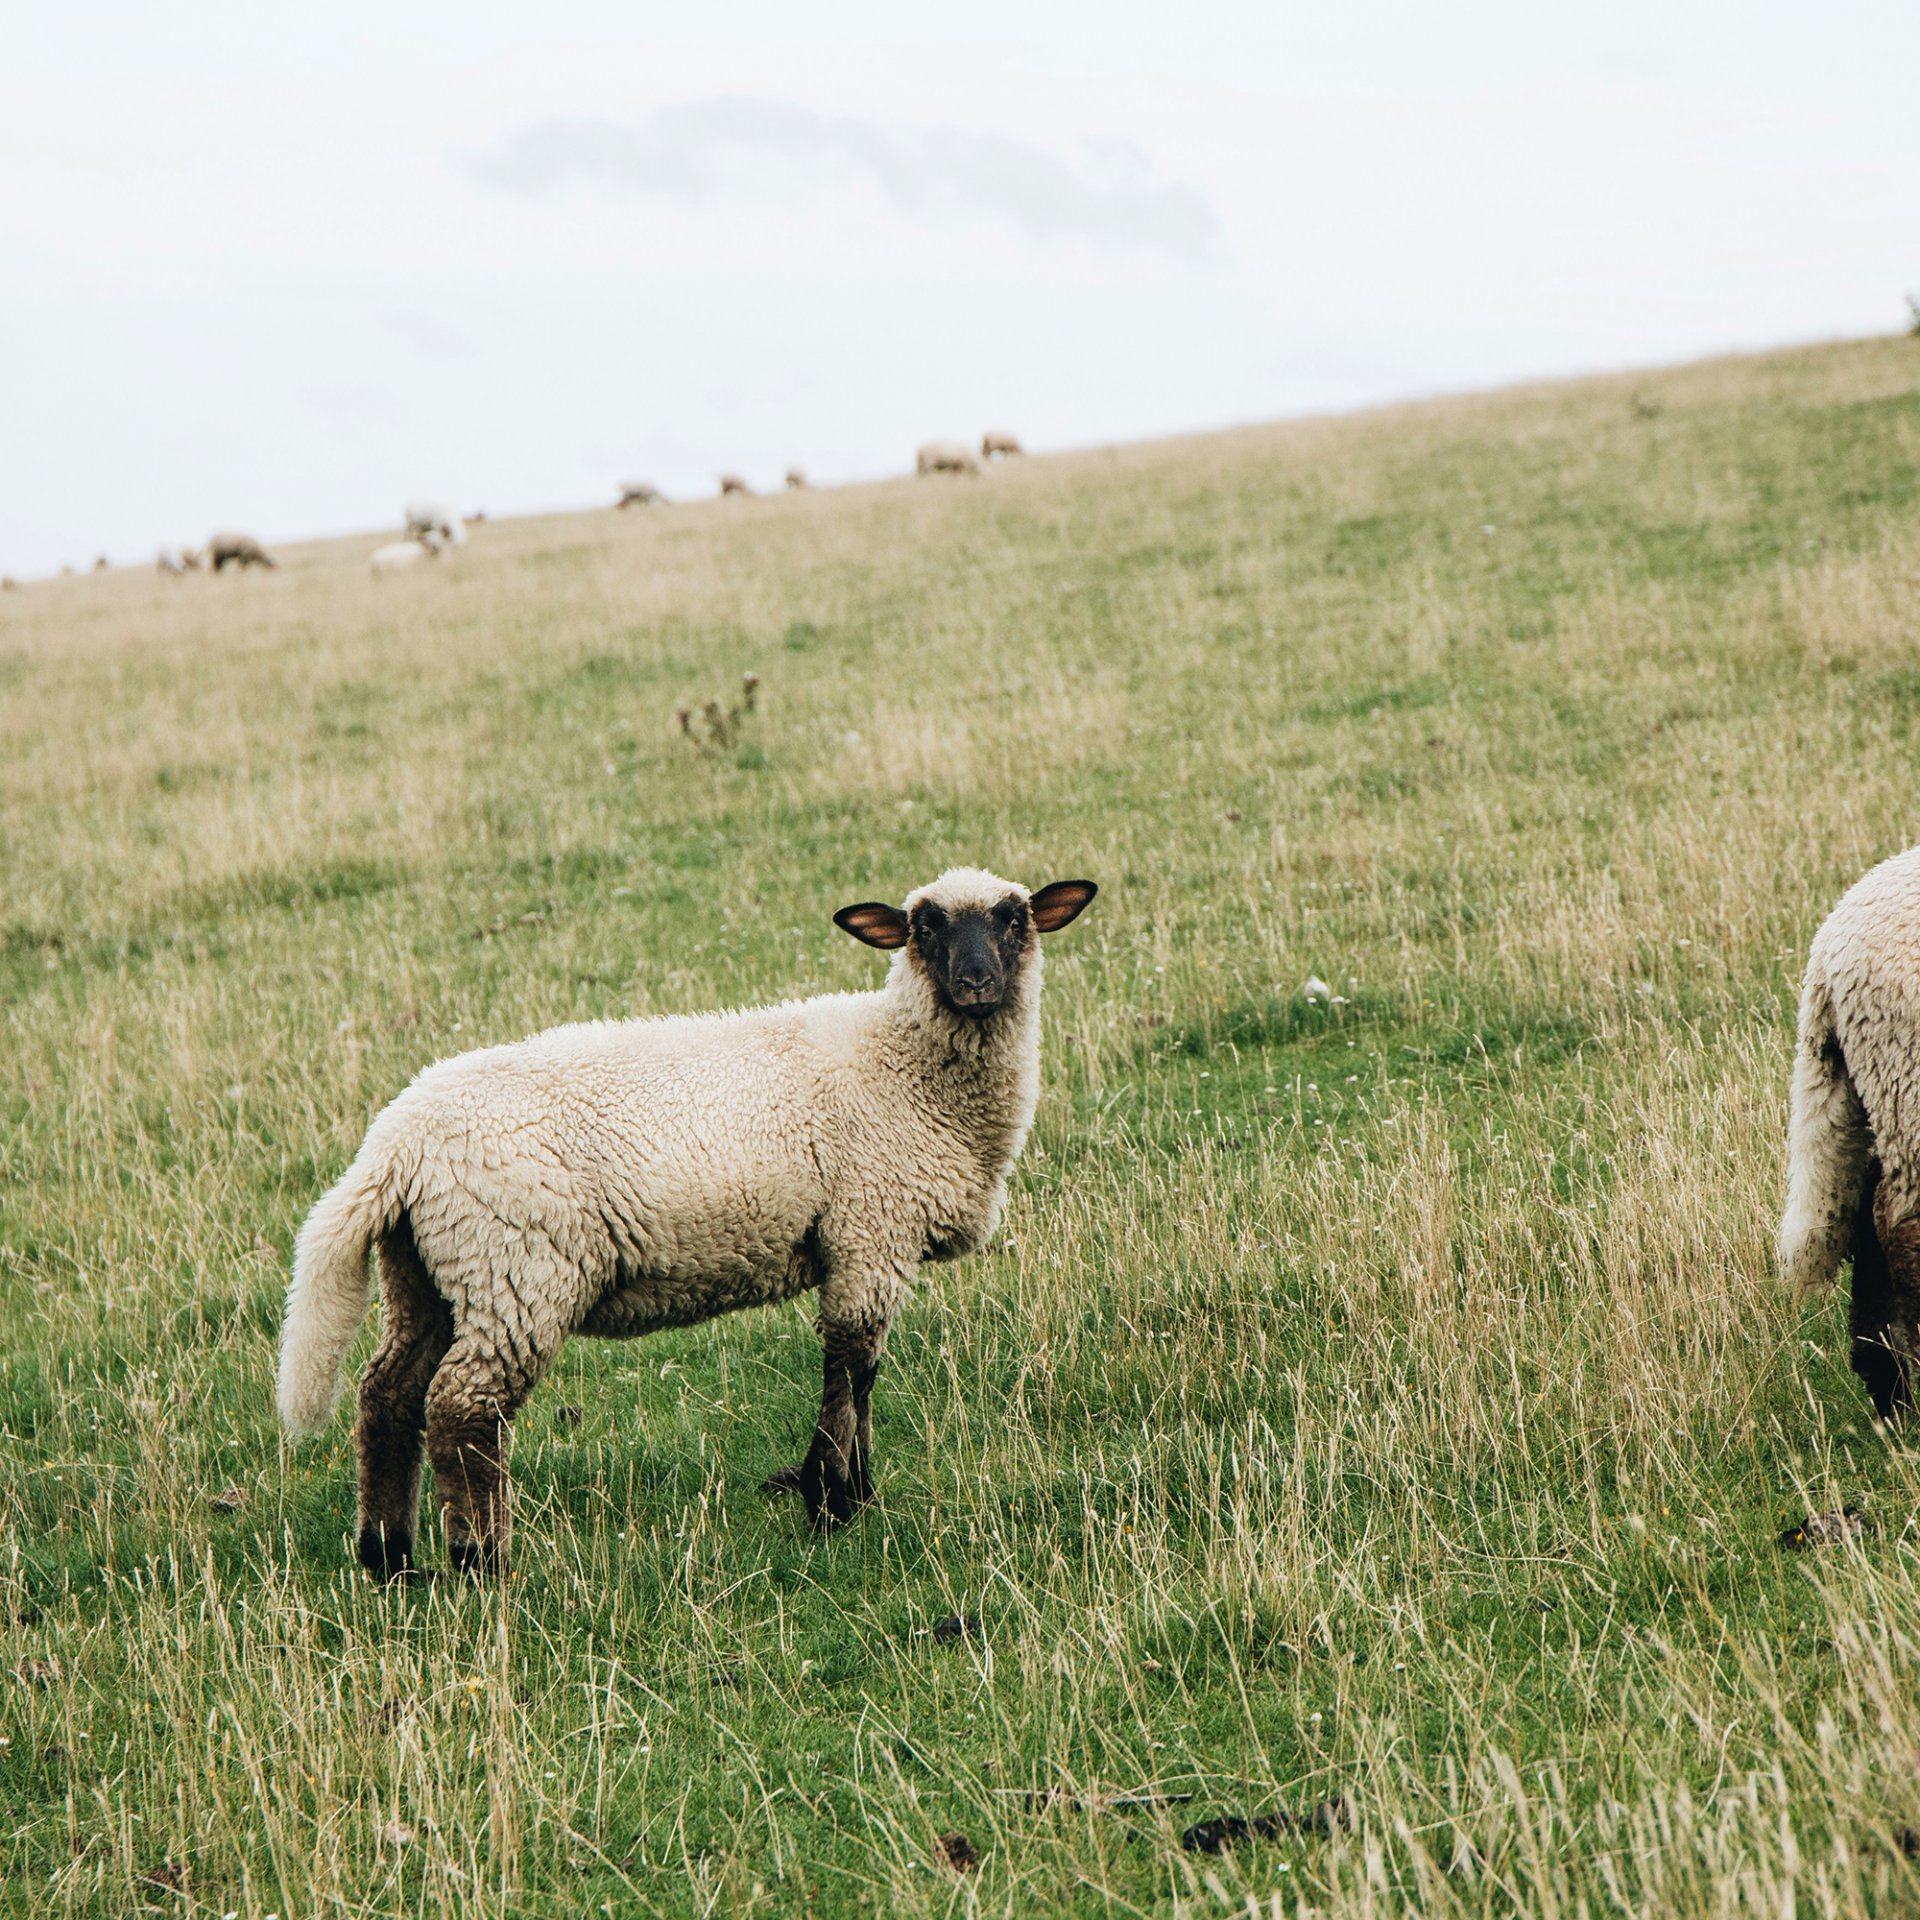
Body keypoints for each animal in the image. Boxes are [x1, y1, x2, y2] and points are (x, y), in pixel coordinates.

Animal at [275, 868, 1098, 1578]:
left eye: (1015, 919)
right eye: (924, 927)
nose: (977, 983)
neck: (902, 1066)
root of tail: (395, 1146)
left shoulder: (864, 1238)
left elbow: (859, 1374)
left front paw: (849, 1492)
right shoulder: (870, 1229)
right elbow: (851, 1368)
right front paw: (835, 1501)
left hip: (429, 1273)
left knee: (388, 1396)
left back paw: (388, 1557)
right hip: (516, 1269)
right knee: (461, 1411)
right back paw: (482, 1562)